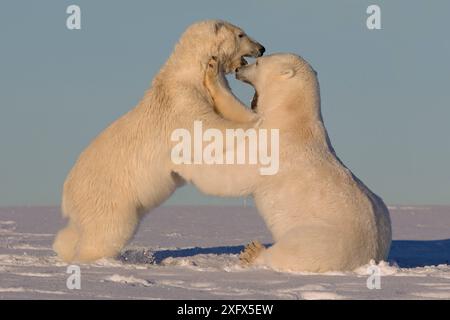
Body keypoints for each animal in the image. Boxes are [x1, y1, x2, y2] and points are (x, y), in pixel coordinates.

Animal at [52, 21, 264, 264]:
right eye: (241, 34)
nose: (262, 48)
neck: (187, 74)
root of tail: (67, 193)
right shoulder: (181, 103)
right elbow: (205, 130)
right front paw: (252, 126)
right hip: (110, 196)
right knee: (107, 231)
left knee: (74, 232)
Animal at [178, 53, 392, 272]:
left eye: (258, 62)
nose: (239, 69)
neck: (293, 117)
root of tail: (371, 257)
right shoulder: (262, 122)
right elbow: (242, 115)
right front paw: (213, 70)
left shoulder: (270, 148)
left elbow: (230, 176)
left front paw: (184, 160)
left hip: (321, 239)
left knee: (293, 252)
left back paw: (254, 252)